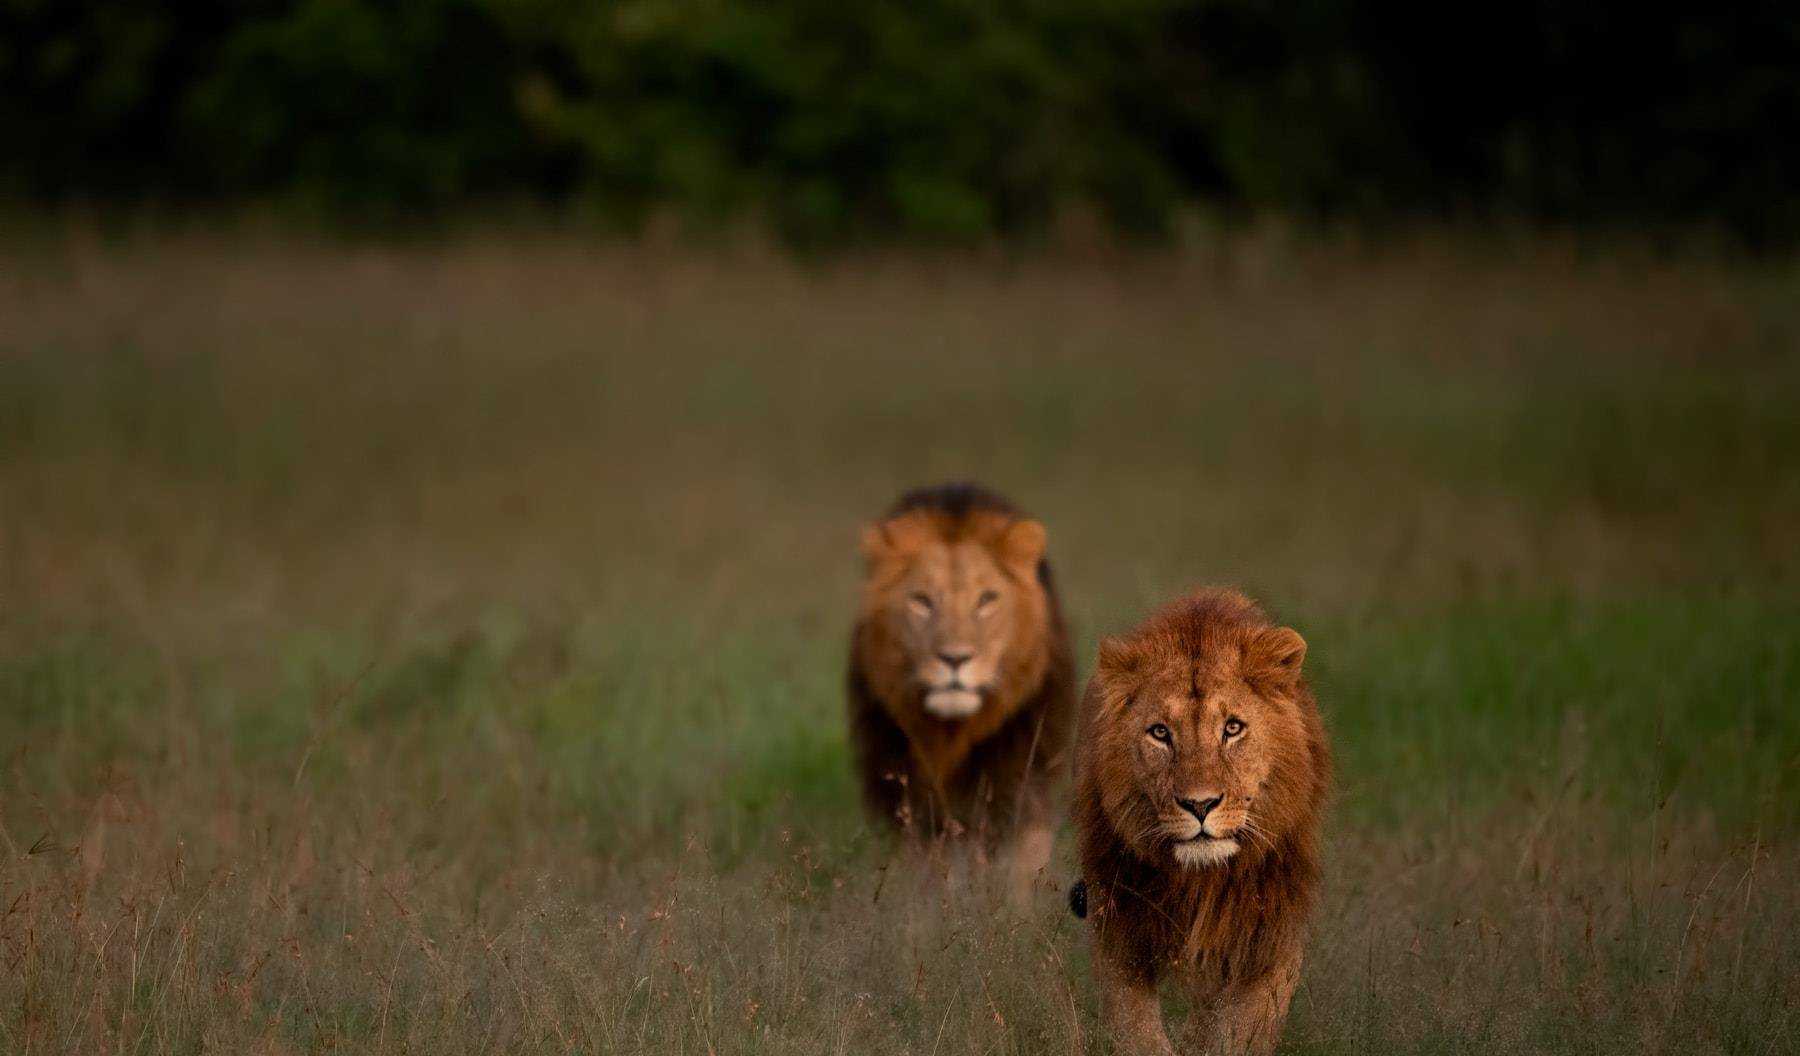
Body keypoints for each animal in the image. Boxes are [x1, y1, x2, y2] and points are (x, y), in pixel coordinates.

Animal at [849, 482, 1072, 895]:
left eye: (986, 600)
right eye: (922, 600)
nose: (955, 658)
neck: (952, 733)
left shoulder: (1021, 770)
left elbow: (1020, 853)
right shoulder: (902, 783)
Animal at [1065, 590, 1339, 1050]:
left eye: (1233, 728)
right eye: (1160, 732)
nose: (1200, 804)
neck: (1200, 879)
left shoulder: (1272, 929)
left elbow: (1243, 1029)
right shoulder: (1118, 924)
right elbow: (1137, 1030)